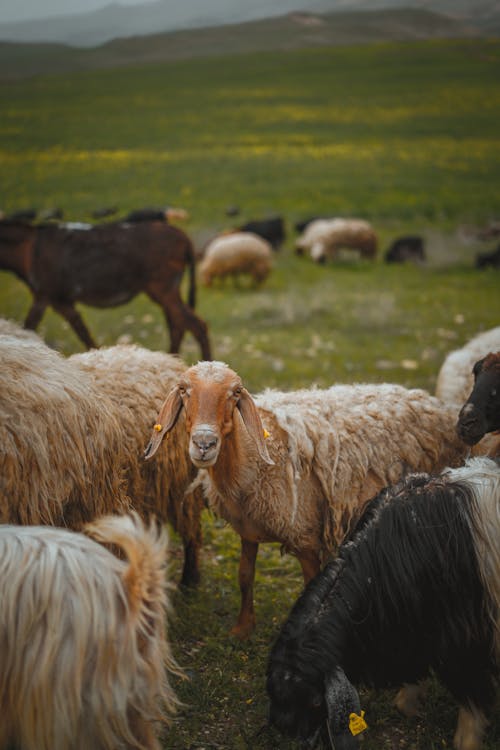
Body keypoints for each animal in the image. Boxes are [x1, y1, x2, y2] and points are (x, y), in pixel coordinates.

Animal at [145, 362, 468, 640]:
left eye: (235, 393)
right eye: (184, 390)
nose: (204, 444)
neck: (254, 461)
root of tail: (435, 404)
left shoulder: (306, 538)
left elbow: (309, 589)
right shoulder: (248, 531)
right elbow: (245, 576)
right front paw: (242, 628)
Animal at [266, 456, 500, 750]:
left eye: (316, 702)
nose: (300, 740)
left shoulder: (464, 637)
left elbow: (471, 687)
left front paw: (468, 739)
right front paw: (407, 702)